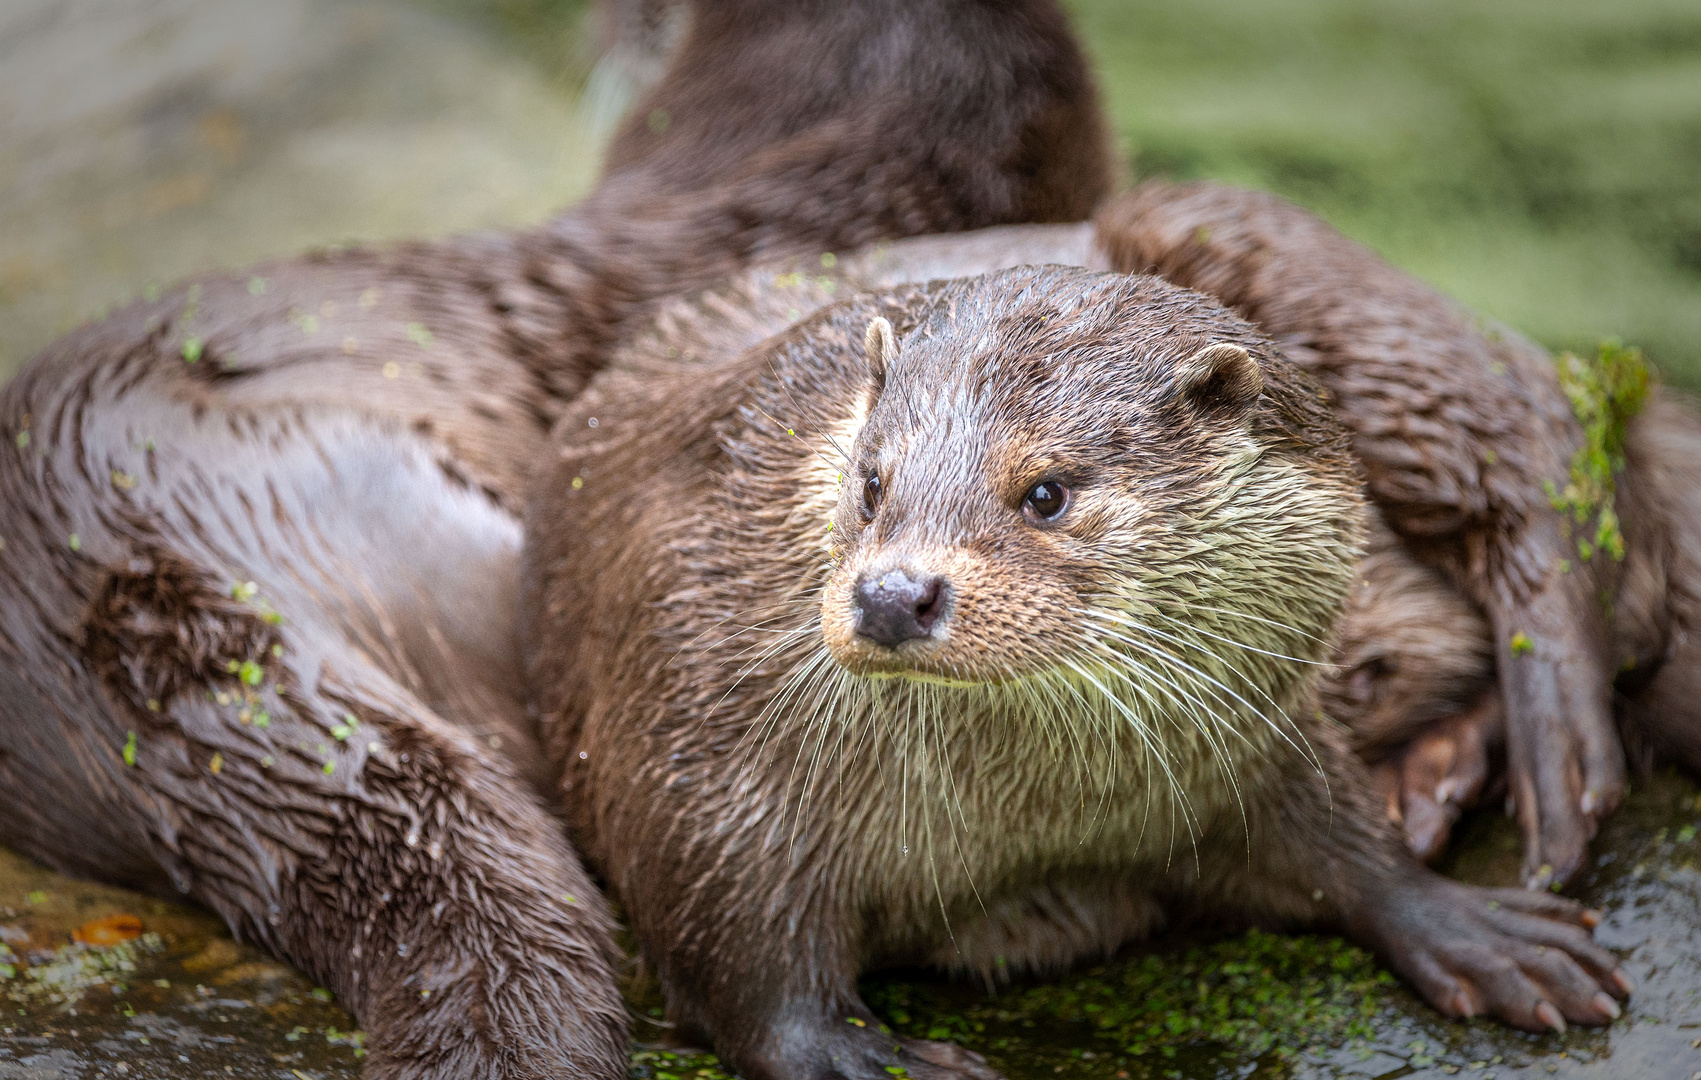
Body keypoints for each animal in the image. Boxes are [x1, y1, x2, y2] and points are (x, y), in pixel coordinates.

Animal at [523, 261, 1626, 1080]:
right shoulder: (695, 732)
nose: (890, 595)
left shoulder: (1255, 735)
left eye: (1047, 492)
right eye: (870, 481)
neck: (1012, 824)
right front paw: (876, 1059)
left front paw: (1469, 925)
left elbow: (1339, 842)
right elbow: (738, 956)